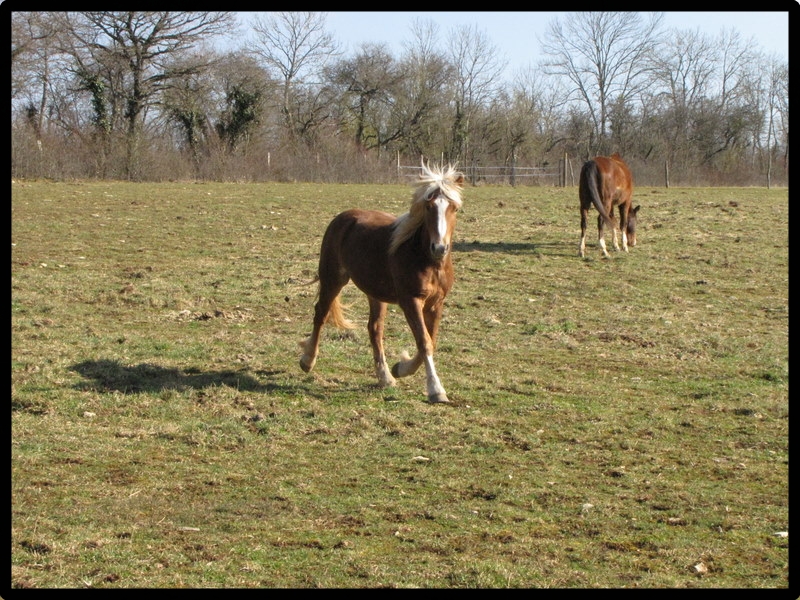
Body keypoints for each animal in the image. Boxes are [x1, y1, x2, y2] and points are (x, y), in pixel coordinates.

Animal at [298, 161, 462, 404]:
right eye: (428, 206)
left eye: (454, 208)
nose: (439, 248)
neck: (425, 259)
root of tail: (343, 218)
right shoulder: (411, 301)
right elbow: (424, 341)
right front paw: (435, 390)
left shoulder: (436, 303)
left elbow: (430, 340)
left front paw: (400, 368)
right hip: (333, 278)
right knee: (321, 314)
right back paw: (308, 361)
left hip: (375, 293)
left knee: (374, 329)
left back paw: (385, 377)